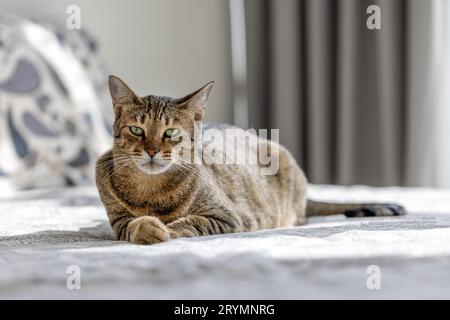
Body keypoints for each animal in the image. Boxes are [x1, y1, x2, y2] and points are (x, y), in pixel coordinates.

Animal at [95, 75, 404, 245]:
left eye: (171, 133)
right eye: (137, 130)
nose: (151, 151)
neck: (151, 192)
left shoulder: (226, 217)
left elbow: (188, 222)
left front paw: (165, 229)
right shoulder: (119, 222)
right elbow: (132, 225)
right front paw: (147, 227)